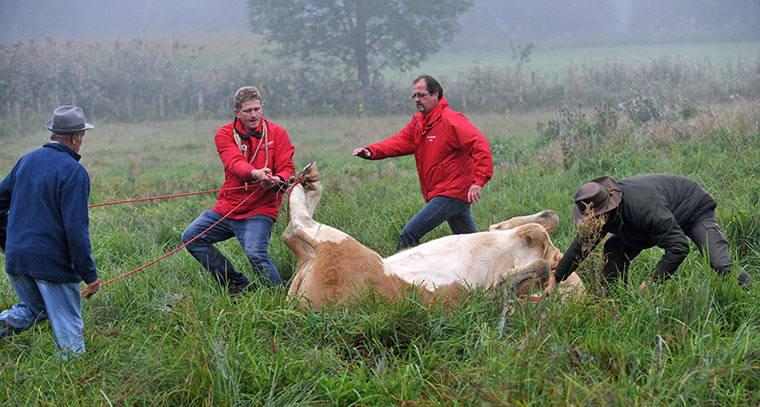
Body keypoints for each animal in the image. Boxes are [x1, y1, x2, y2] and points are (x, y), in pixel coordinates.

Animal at [283, 162, 584, 309]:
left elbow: (538, 256)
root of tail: (300, 308)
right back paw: (307, 180)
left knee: (294, 227)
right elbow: (545, 221)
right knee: (294, 228)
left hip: (341, 248)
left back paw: (308, 182)